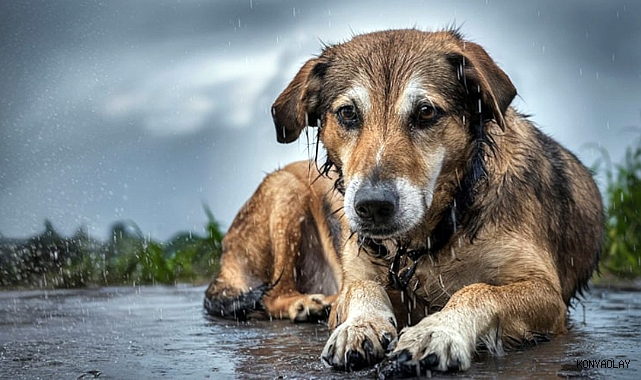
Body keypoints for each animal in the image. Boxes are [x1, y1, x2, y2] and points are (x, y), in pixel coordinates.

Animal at [272, 28, 604, 376]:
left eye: (426, 112)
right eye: (348, 113)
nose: (373, 206)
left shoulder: (547, 294)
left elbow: (478, 290)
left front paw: (437, 330)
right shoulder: (358, 272)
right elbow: (360, 287)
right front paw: (360, 326)